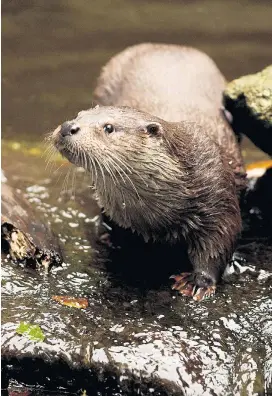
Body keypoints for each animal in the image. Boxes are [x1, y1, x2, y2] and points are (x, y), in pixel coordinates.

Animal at [51, 43, 246, 300]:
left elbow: (219, 244)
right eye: (79, 115)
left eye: (108, 127)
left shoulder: (218, 195)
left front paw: (198, 282)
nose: (67, 126)